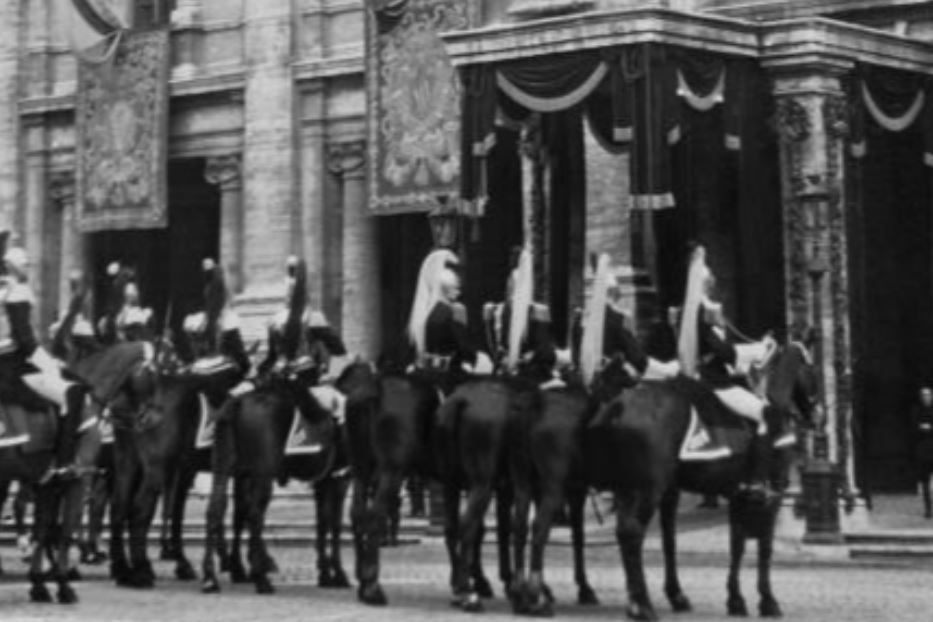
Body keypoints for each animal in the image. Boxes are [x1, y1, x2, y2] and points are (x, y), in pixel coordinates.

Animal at [584, 344, 816, 620]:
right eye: (813, 369)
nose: (817, 415)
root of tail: (620, 405)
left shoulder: (737, 495)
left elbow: (734, 544)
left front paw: (735, 600)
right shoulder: (774, 492)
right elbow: (764, 547)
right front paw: (768, 601)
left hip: (629, 490)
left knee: (626, 533)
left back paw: (637, 603)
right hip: (648, 490)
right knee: (631, 532)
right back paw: (643, 605)